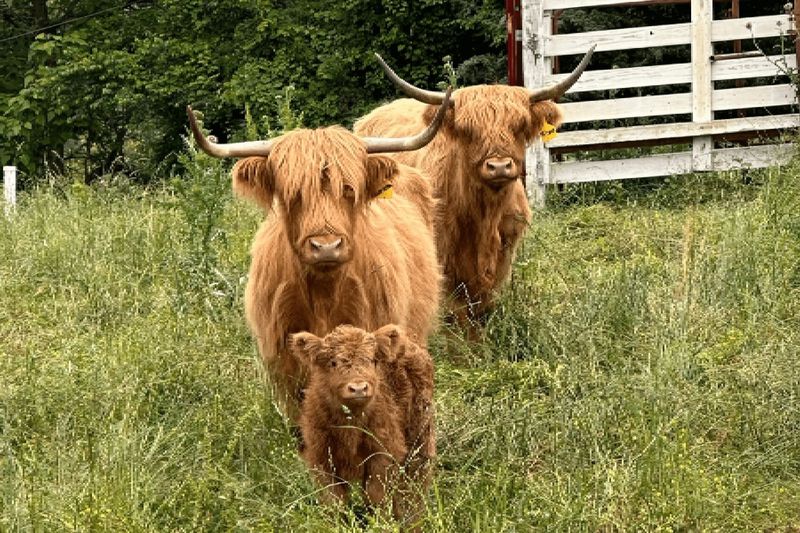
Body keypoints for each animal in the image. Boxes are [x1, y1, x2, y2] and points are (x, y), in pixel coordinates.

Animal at [289, 324, 434, 526]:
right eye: (333, 362)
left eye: (372, 360)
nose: (358, 388)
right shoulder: (321, 458)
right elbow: (334, 500)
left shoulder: (383, 454)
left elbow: (376, 496)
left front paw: (381, 524)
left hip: (421, 436)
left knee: (414, 485)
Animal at [354, 46, 595, 326]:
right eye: (468, 130)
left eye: (519, 126)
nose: (499, 166)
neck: (485, 215)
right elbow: (457, 312)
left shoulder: (504, 255)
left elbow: (482, 309)